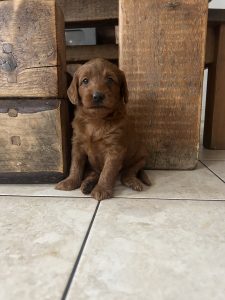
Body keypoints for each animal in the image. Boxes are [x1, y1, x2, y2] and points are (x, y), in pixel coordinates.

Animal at [55, 57, 151, 200]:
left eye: (110, 79)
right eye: (85, 81)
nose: (97, 96)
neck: (96, 121)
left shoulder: (115, 149)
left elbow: (108, 172)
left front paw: (101, 190)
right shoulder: (77, 145)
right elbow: (75, 165)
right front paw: (70, 181)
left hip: (140, 157)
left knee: (128, 172)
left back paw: (132, 182)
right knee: (94, 173)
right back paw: (87, 184)